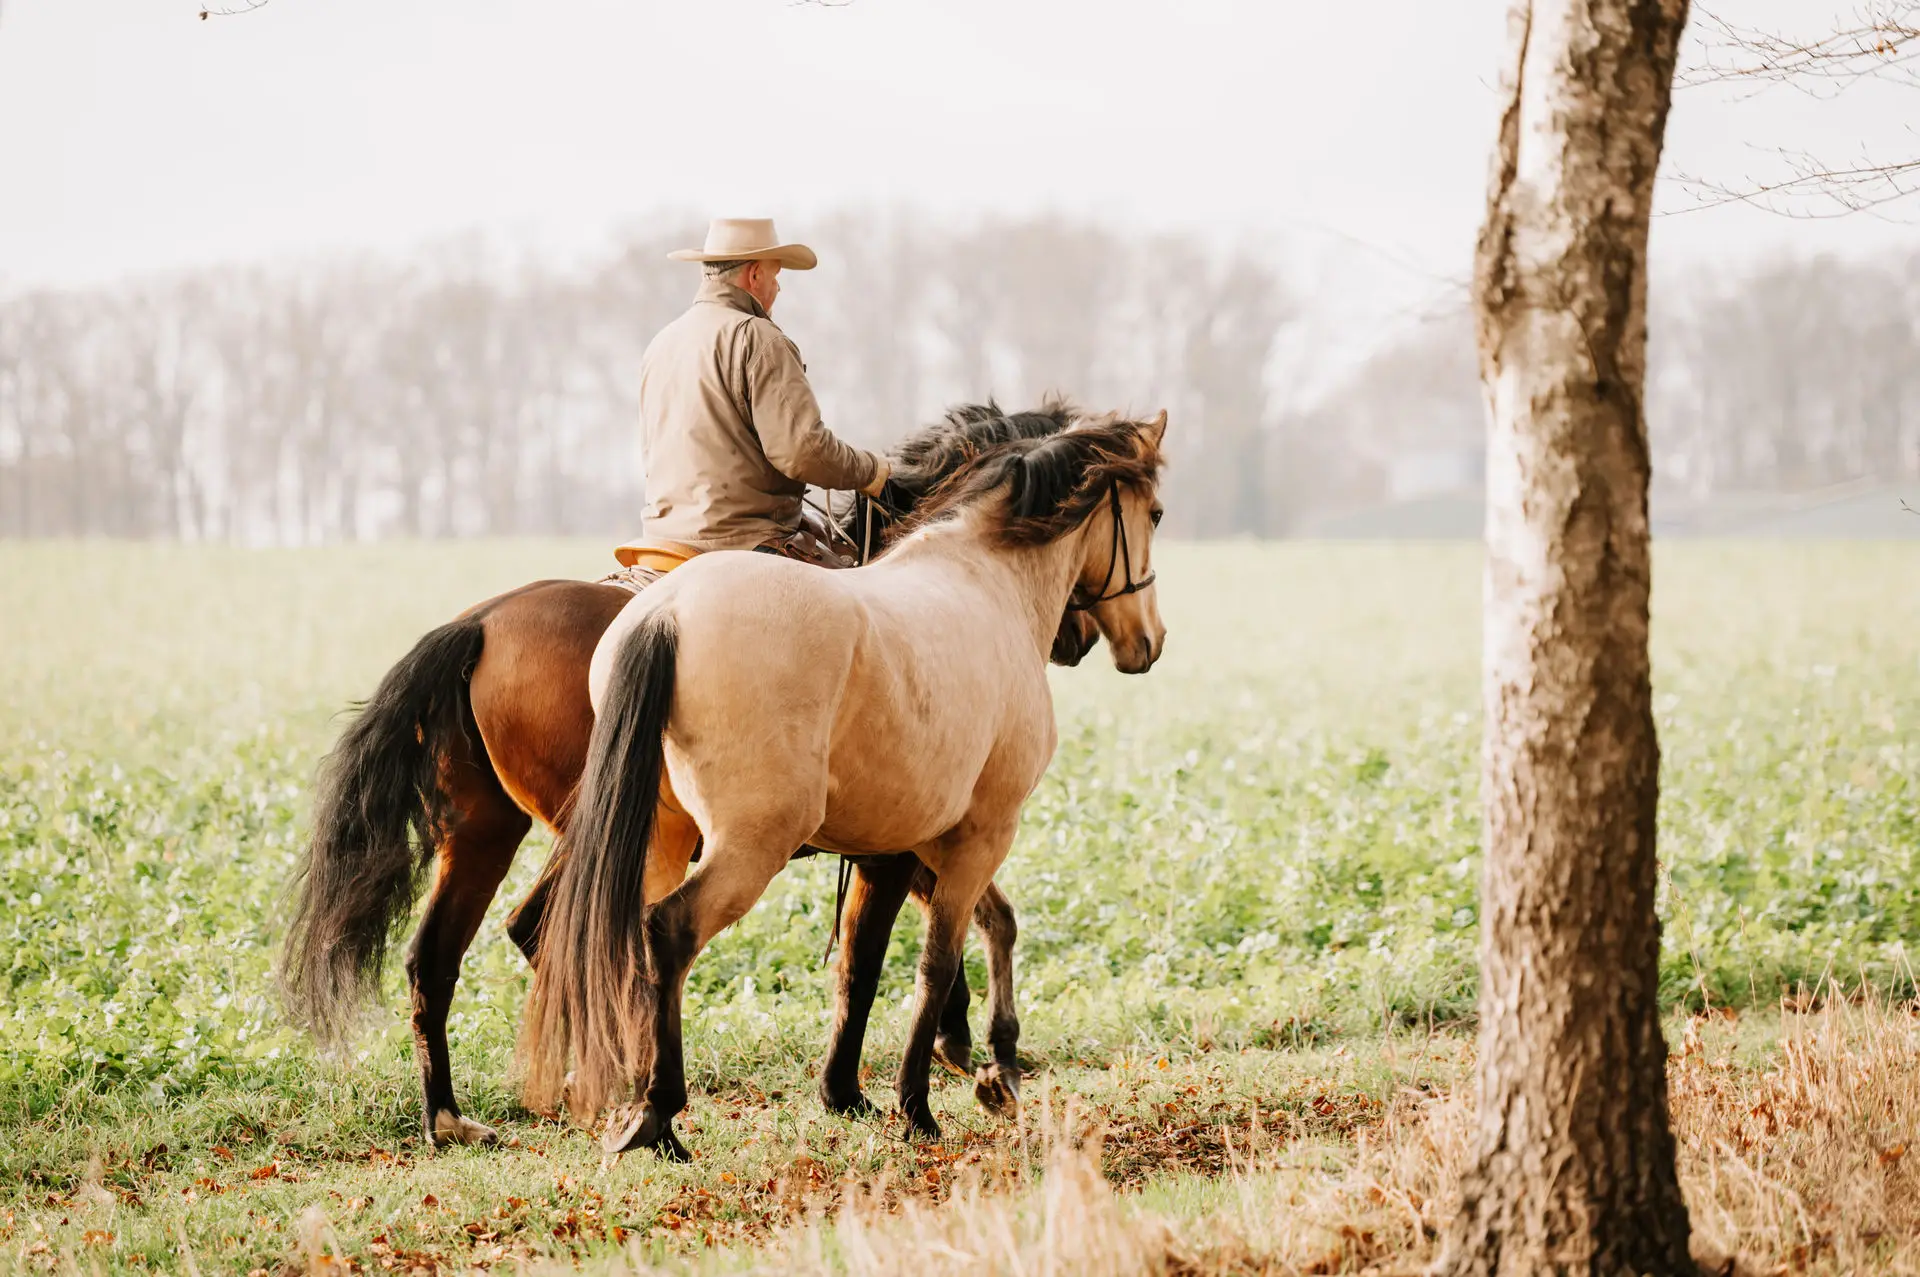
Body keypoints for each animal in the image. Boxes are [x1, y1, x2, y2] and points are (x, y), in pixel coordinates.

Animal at [278, 402, 1098, 1149]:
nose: (1082, 638)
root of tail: (478, 624)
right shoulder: (901, 839)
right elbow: (922, 941)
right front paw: (960, 1059)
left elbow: (973, 922)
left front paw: (961, 1055)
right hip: (587, 831)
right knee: (551, 931)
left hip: (486, 833)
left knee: (443, 956)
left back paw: (454, 1115)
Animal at [524, 409, 1168, 1159]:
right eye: (1155, 512)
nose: (1146, 641)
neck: (988, 581)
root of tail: (669, 612)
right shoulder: (980, 833)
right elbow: (936, 960)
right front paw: (919, 1102)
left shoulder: (892, 845)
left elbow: (865, 962)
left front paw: (874, 1087)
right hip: (749, 849)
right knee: (670, 930)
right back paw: (659, 1111)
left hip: (659, 840)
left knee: (620, 941)